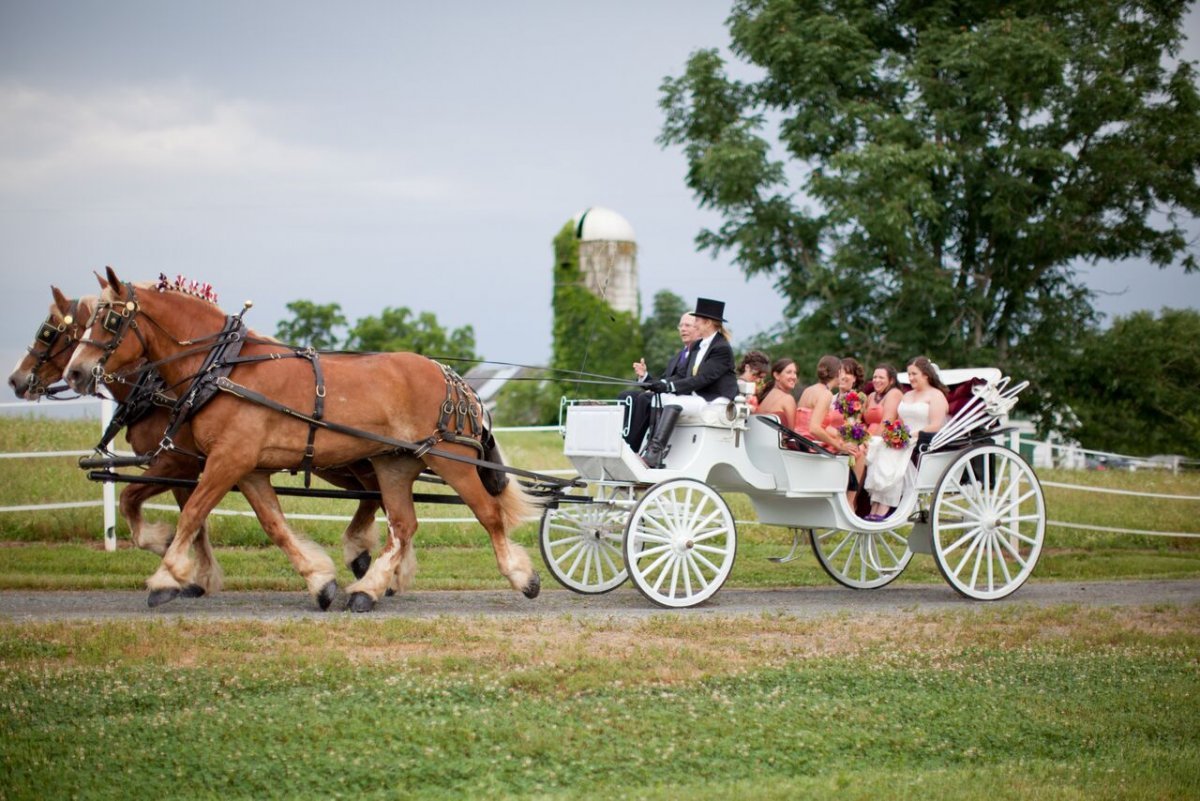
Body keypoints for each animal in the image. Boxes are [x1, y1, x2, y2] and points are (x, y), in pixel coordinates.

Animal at [9, 288, 398, 599]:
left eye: (51, 331)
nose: (15, 380)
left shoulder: (178, 463)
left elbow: (143, 502)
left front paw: (175, 564)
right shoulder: (192, 468)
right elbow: (193, 521)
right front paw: (194, 575)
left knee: (377, 498)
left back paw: (370, 562)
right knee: (375, 497)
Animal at [62, 266, 540, 609]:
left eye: (110, 319)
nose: (76, 372)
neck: (222, 369)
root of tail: (451, 377)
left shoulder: (225, 461)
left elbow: (192, 513)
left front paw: (165, 577)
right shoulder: (246, 468)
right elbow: (273, 525)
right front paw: (320, 581)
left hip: (451, 458)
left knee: (488, 514)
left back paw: (523, 577)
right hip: (395, 463)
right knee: (402, 525)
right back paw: (367, 589)